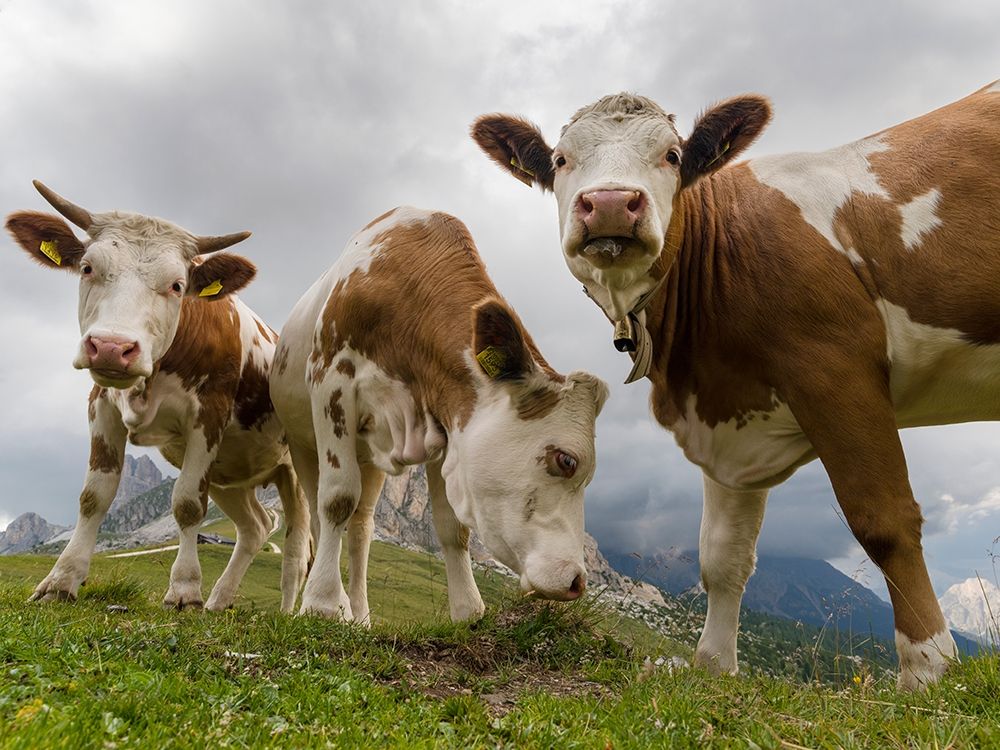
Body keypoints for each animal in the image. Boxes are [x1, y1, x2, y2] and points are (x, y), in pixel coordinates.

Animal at [5, 181, 310, 612]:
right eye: (87, 267)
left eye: (177, 285)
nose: (112, 347)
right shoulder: (101, 405)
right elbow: (93, 497)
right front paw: (60, 581)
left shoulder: (208, 417)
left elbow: (187, 504)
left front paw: (184, 591)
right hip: (230, 474)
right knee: (256, 526)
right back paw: (219, 601)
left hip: (300, 470)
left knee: (299, 548)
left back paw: (294, 612)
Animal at [270, 207, 609, 622]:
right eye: (566, 460)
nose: (576, 581)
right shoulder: (332, 382)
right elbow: (337, 499)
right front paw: (321, 603)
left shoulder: (446, 419)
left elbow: (451, 525)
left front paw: (468, 609)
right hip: (303, 442)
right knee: (323, 515)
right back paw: (339, 604)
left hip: (369, 458)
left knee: (362, 529)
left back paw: (361, 616)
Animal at [471, 79, 1000, 690]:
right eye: (560, 160)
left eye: (673, 156)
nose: (608, 204)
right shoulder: (728, 418)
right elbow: (722, 558)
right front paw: (714, 667)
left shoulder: (838, 368)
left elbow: (884, 520)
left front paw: (928, 670)